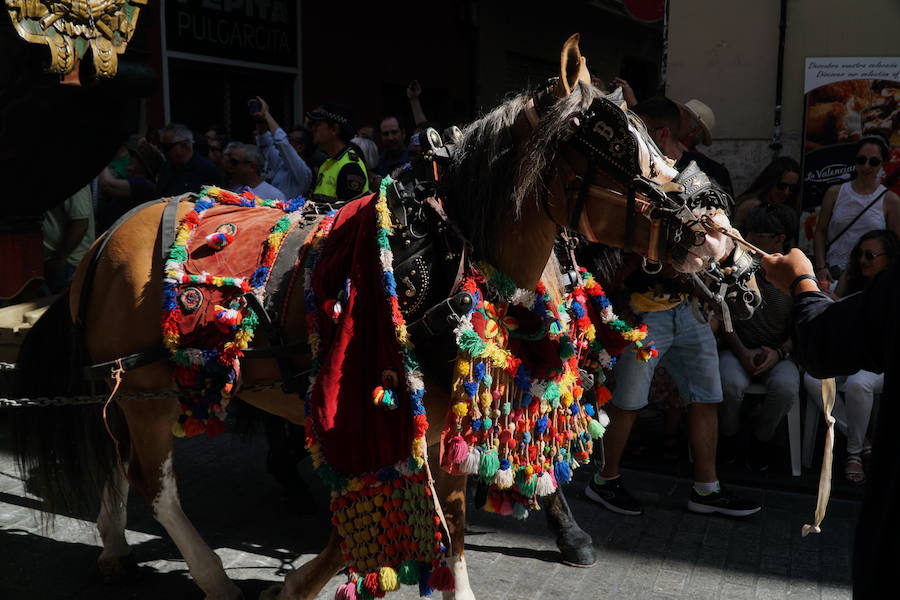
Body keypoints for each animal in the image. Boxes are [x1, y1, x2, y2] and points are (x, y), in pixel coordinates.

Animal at [12, 37, 760, 600]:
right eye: (612, 141)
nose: (734, 258)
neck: (445, 253)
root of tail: (109, 236)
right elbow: (381, 523)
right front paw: (296, 584)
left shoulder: (451, 420)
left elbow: (451, 522)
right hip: (147, 389)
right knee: (155, 483)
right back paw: (212, 575)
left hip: (129, 385)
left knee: (113, 458)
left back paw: (114, 546)